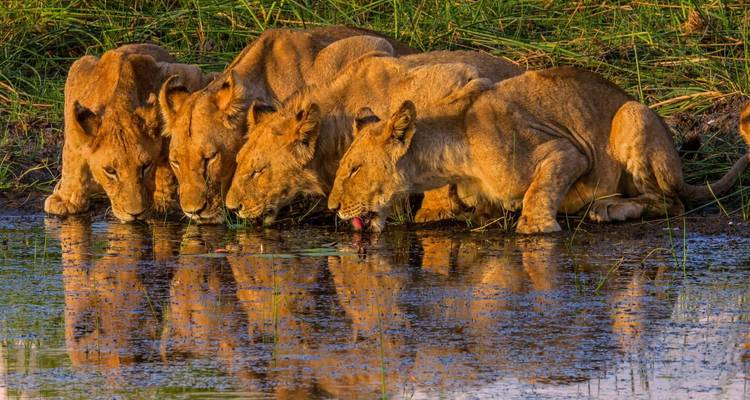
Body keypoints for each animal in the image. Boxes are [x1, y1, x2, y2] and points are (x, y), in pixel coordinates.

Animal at [44, 44, 214, 222]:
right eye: (110, 171)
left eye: (145, 166)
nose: (135, 214)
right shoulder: (76, 82)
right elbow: (71, 158)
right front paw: (66, 201)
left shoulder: (187, 73)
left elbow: (167, 163)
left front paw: (162, 202)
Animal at [328, 66, 750, 233]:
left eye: (353, 169)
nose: (332, 207)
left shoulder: (567, 150)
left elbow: (540, 188)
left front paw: (535, 225)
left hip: (632, 114)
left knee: (670, 201)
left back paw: (609, 209)